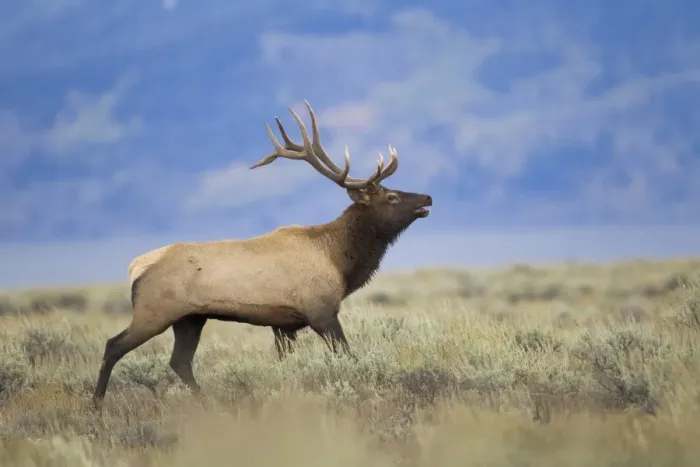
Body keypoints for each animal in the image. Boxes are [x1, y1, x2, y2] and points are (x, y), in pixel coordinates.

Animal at [91, 100, 432, 410]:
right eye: (392, 197)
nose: (427, 197)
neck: (339, 262)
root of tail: (136, 267)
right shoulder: (320, 310)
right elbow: (347, 354)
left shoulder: (283, 325)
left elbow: (286, 364)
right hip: (154, 310)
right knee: (113, 345)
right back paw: (96, 404)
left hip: (190, 318)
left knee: (180, 361)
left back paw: (207, 403)